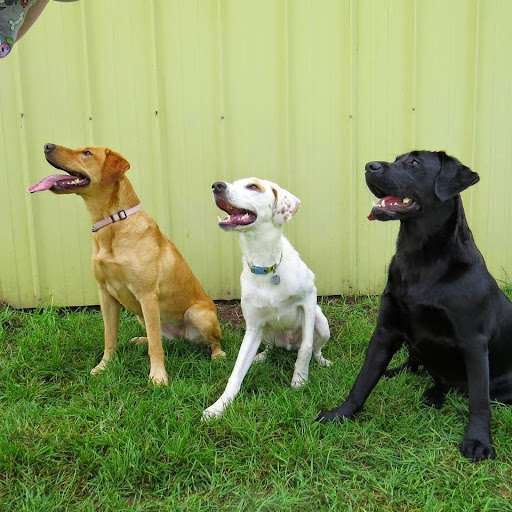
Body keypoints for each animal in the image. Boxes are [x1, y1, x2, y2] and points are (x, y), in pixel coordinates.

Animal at [28, 142, 224, 382]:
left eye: (87, 153)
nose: (47, 145)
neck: (113, 224)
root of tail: (184, 337)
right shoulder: (105, 294)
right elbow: (110, 337)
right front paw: (103, 366)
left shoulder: (147, 295)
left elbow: (155, 347)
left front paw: (158, 377)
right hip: (142, 316)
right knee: (159, 337)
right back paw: (140, 340)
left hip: (197, 314)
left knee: (209, 341)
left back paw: (217, 355)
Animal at [204, 178, 332, 418]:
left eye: (253, 186)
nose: (217, 186)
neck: (266, 265)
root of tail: (288, 344)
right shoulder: (253, 326)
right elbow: (236, 373)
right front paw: (219, 406)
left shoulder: (309, 299)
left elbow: (306, 348)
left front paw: (300, 380)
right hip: (264, 331)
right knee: (270, 347)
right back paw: (261, 357)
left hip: (322, 323)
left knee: (315, 348)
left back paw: (322, 361)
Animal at [318, 150, 512, 462]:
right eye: (398, 159)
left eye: (414, 163)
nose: (368, 166)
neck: (420, 259)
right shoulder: (386, 330)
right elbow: (363, 380)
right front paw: (341, 414)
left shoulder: (473, 341)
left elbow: (479, 400)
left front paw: (478, 441)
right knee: (419, 366)